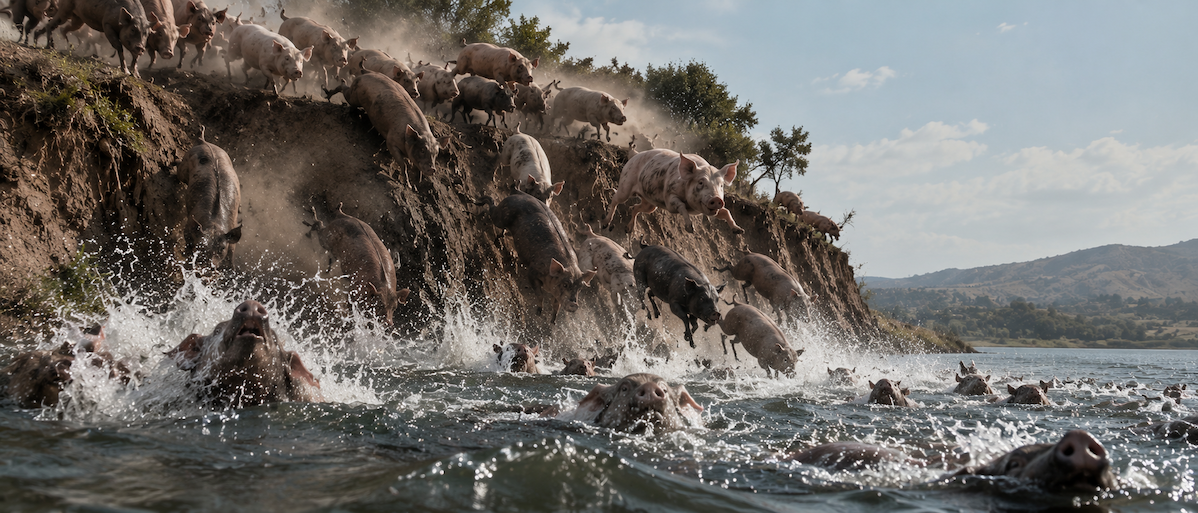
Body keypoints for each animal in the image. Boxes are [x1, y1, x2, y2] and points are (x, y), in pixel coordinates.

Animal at [177, 128, 241, 269]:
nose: (210, 264)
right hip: (184, 164)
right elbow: (188, 242)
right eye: (202, 246)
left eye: (222, 248)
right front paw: (187, 255)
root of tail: (204, 142)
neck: (214, 223)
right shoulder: (189, 224)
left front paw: (232, 268)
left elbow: (231, 254)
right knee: (178, 173)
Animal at [476, 190, 596, 324]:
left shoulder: (556, 293)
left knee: (502, 229)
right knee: (492, 208)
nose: (574, 305)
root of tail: (519, 194)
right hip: (501, 216)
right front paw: (538, 313)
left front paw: (553, 322)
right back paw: (477, 203)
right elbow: (539, 294)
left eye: (580, 288)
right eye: (565, 284)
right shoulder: (533, 272)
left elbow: (557, 304)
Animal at [604, 148, 742, 235]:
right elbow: (680, 205)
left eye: (721, 185)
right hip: (625, 185)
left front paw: (739, 231)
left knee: (635, 208)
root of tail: (633, 156)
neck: (692, 207)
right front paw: (690, 228)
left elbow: (725, 211)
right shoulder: (669, 198)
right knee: (616, 199)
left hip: (650, 204)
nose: (717, 199)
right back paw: (606, 224)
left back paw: (628, 229)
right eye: (701, 182)